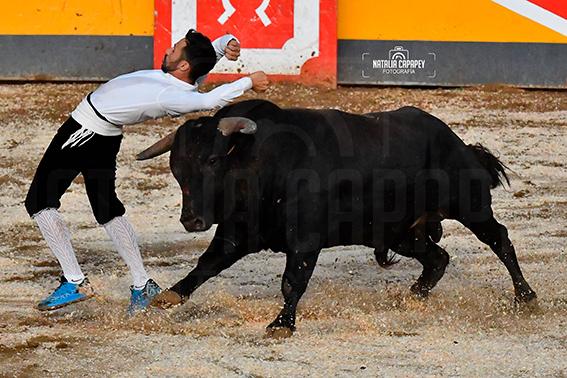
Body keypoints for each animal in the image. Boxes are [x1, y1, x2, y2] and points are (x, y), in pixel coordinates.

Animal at [138, 99, 536, 336]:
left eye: (213, 160)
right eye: (176, 168)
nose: (191, 221)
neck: (264, 160)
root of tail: (457, 141)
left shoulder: (304, 238)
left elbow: (292, 281)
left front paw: (282, 324)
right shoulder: (238, 230)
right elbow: (207, 263)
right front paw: (170, 296)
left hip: (470, 207)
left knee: (500, 240)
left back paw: (525, 296)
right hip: (399, 232)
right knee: (438, 257)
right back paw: (412, 296)